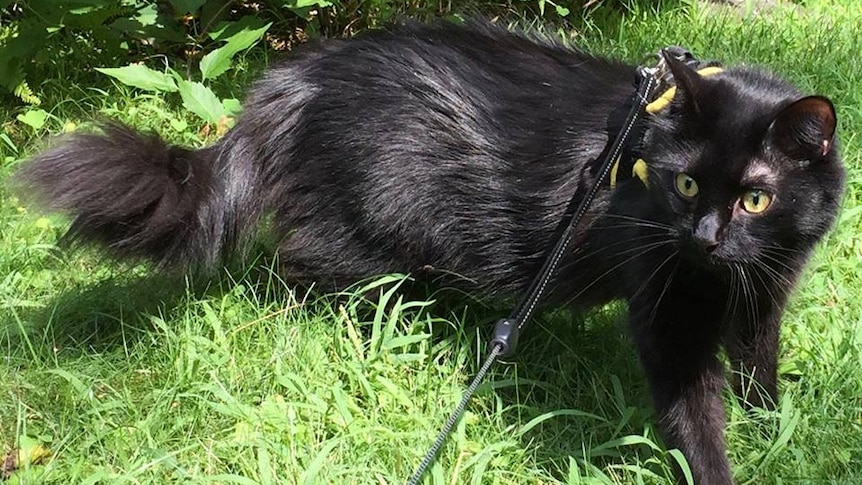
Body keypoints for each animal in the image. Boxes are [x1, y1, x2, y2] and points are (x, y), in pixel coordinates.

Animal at [18, 20, 844, 482]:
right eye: (684, 183)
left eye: (756, 198)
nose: (704, 236)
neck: (729, 274)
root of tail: (289, 79)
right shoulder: (668, 316)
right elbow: (695, 416)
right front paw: (725, 467)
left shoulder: (767, 293)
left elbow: (759, 366)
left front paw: (777, 428)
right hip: (364, 228)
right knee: (301, 268)